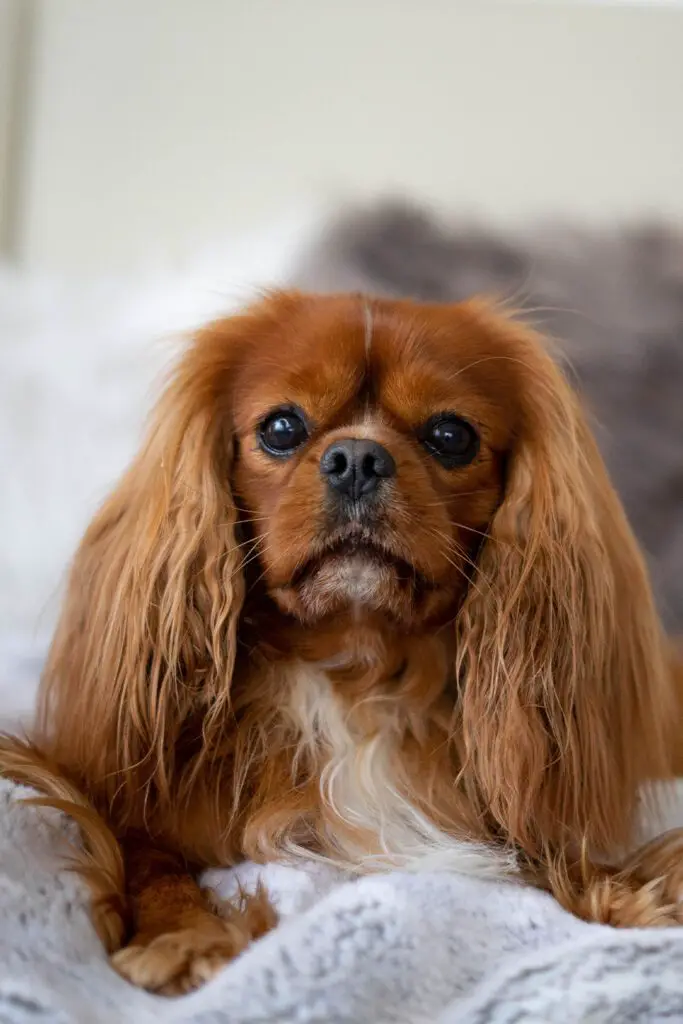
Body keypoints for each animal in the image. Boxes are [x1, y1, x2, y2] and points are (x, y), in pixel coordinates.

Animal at [1, 292, 683, 995]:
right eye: (281, 428)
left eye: (451, 435)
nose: (358, 457)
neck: (357, 668)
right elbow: (146, 860)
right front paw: (182, 935)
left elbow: (548, 845)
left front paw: (626, 891)